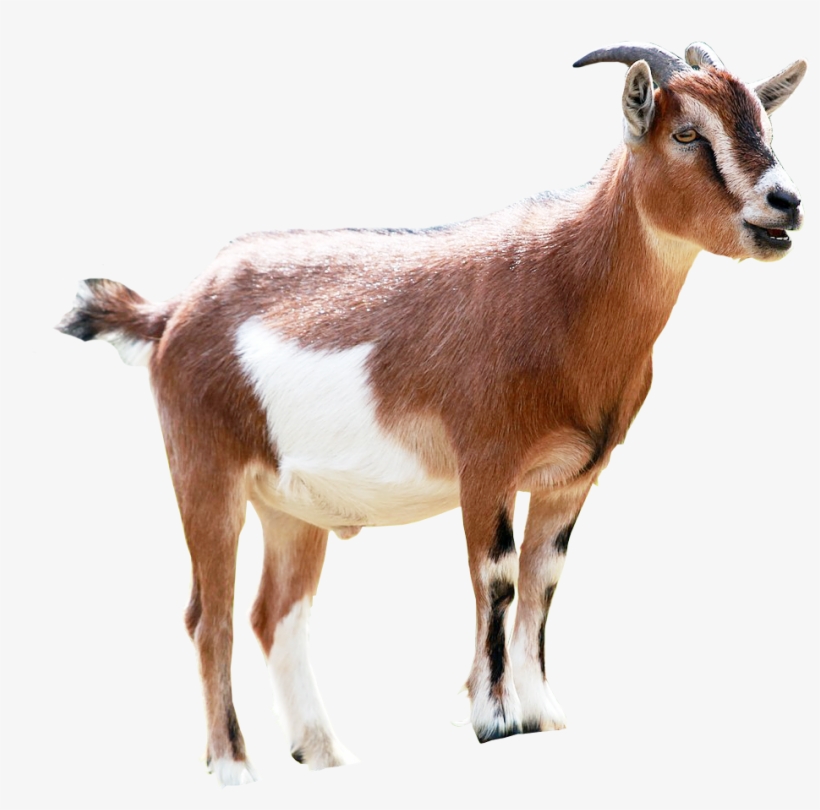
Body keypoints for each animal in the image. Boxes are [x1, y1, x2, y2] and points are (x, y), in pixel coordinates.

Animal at [57, 41, 806, 786]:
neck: (564, 288)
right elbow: (498, 578)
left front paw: (543, 712)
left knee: (276, 614)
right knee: (208, 615)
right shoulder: (486, 465)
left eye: (763, 123)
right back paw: (233, 767)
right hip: (205, 471)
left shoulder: (571, 479)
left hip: (289, 507)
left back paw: (324, 753)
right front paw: (494, 720)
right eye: (686, 134)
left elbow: (543, 580)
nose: (787, 203)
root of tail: (172, 312)